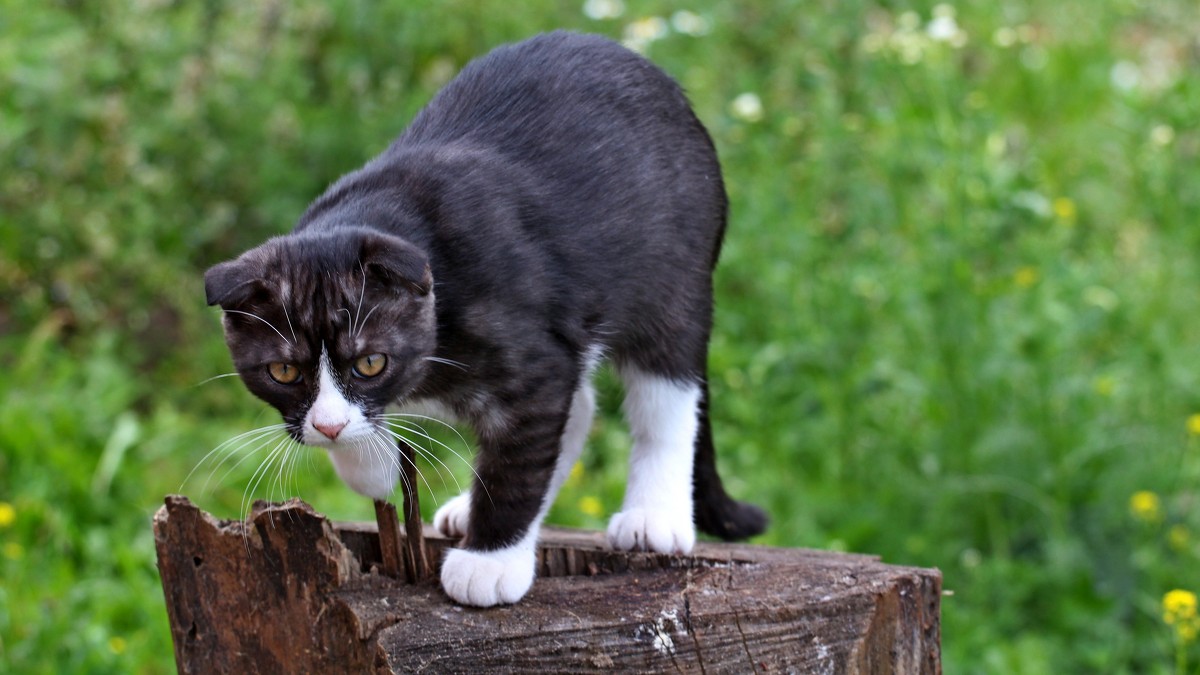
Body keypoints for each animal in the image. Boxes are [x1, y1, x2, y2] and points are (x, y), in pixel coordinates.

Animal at [204, 31, 768, 607]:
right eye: (284, 373)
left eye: (370, 363)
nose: (328, 427)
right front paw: (372, 466)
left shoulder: (533, 361)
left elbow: (518, 458)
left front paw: (489, 563)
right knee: (583, 405)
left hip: (673, 281)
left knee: (666, 396)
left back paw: (653, 516)